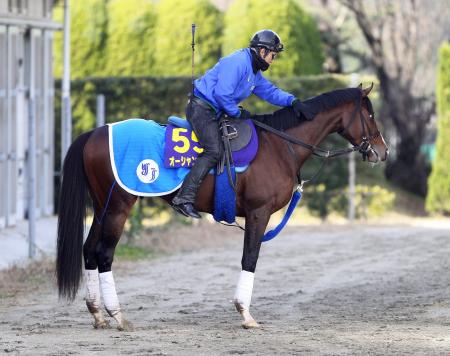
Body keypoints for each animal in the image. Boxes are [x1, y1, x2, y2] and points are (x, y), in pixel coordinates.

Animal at [56, 85, 386, 330]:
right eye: (370, 114)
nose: (383, 150)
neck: (279, 145)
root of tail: (97, 132)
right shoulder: (258, 213)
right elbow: (249, 258)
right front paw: (245, 313)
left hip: (102, 206)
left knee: (89, 250)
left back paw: (97, 313)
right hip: (118, 207)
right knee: (104, 254)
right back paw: (117, 314)